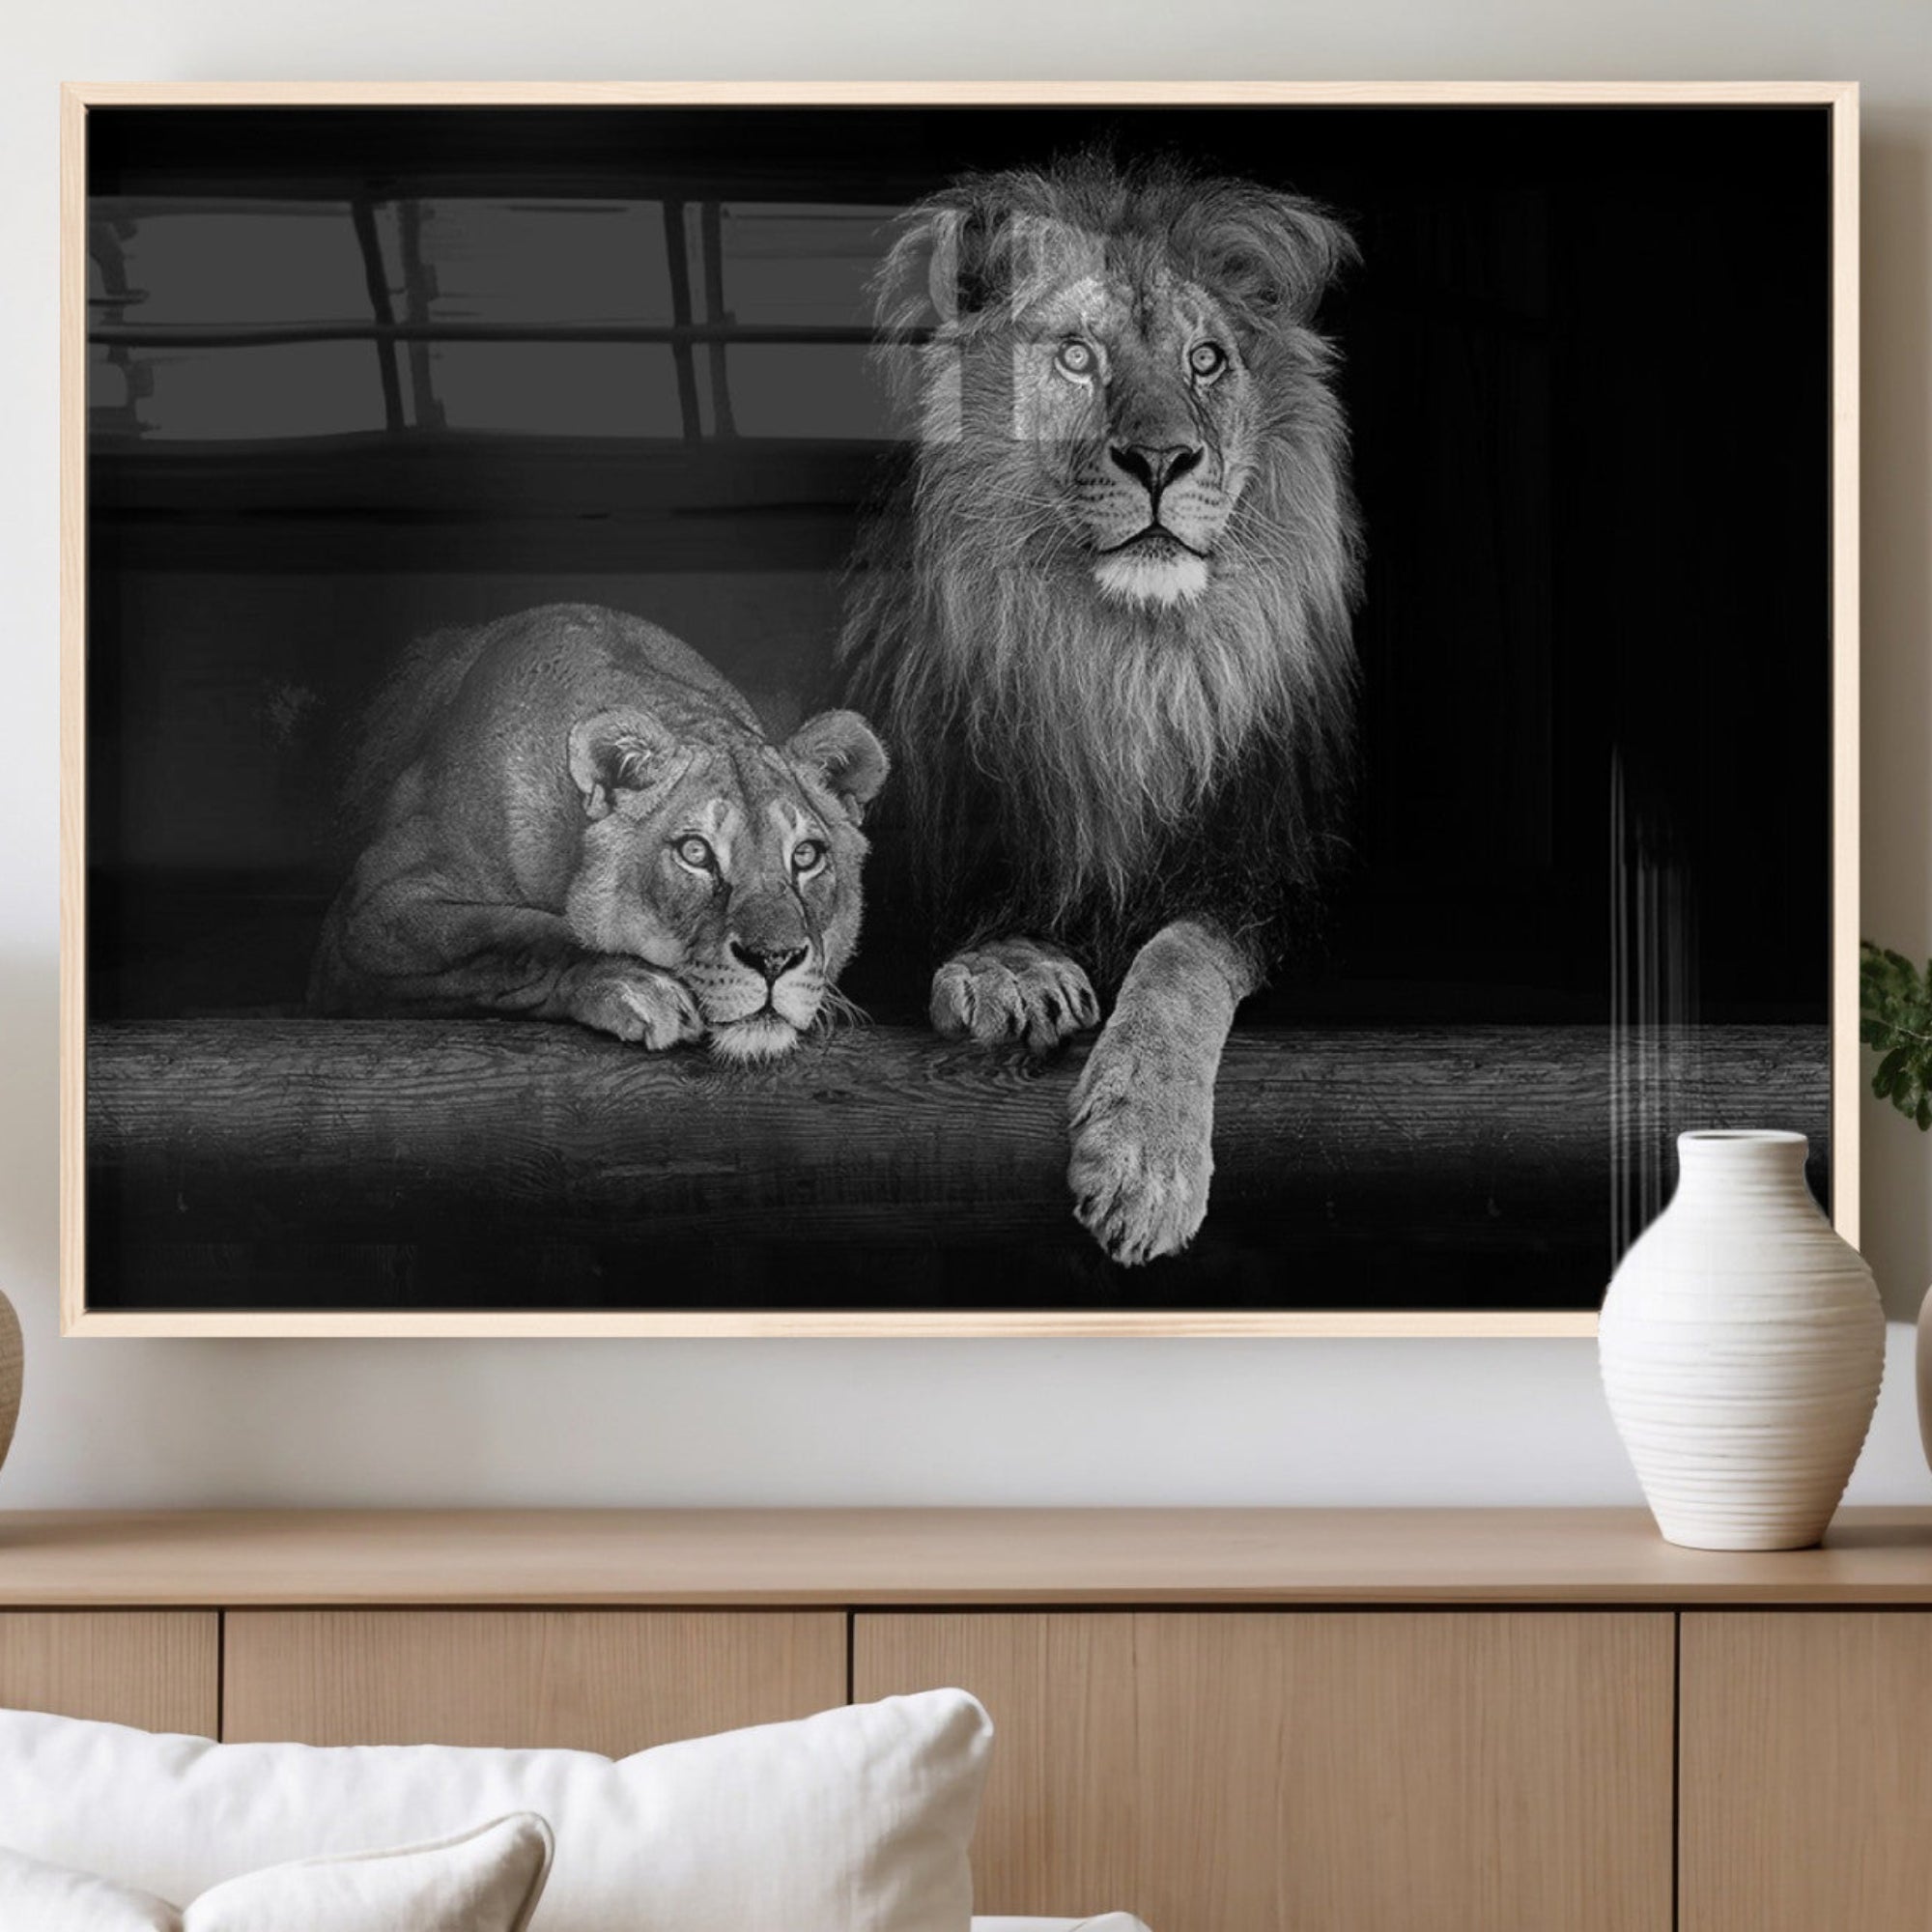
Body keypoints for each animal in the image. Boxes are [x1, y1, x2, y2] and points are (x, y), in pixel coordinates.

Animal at [311, 603, 889, 1065]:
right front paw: (637, 984)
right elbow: (520, 937)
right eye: (696, 852)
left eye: (806, 855)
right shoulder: (369, 913)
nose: (775, 960)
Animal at [838, 154, 1361, 1264]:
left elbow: (1180, 957)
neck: (1118, 661)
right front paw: (1008, 968)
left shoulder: (1270, 870)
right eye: (1076, 357)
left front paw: (1145, 1159)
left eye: (1206, 361)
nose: (1162, 460)